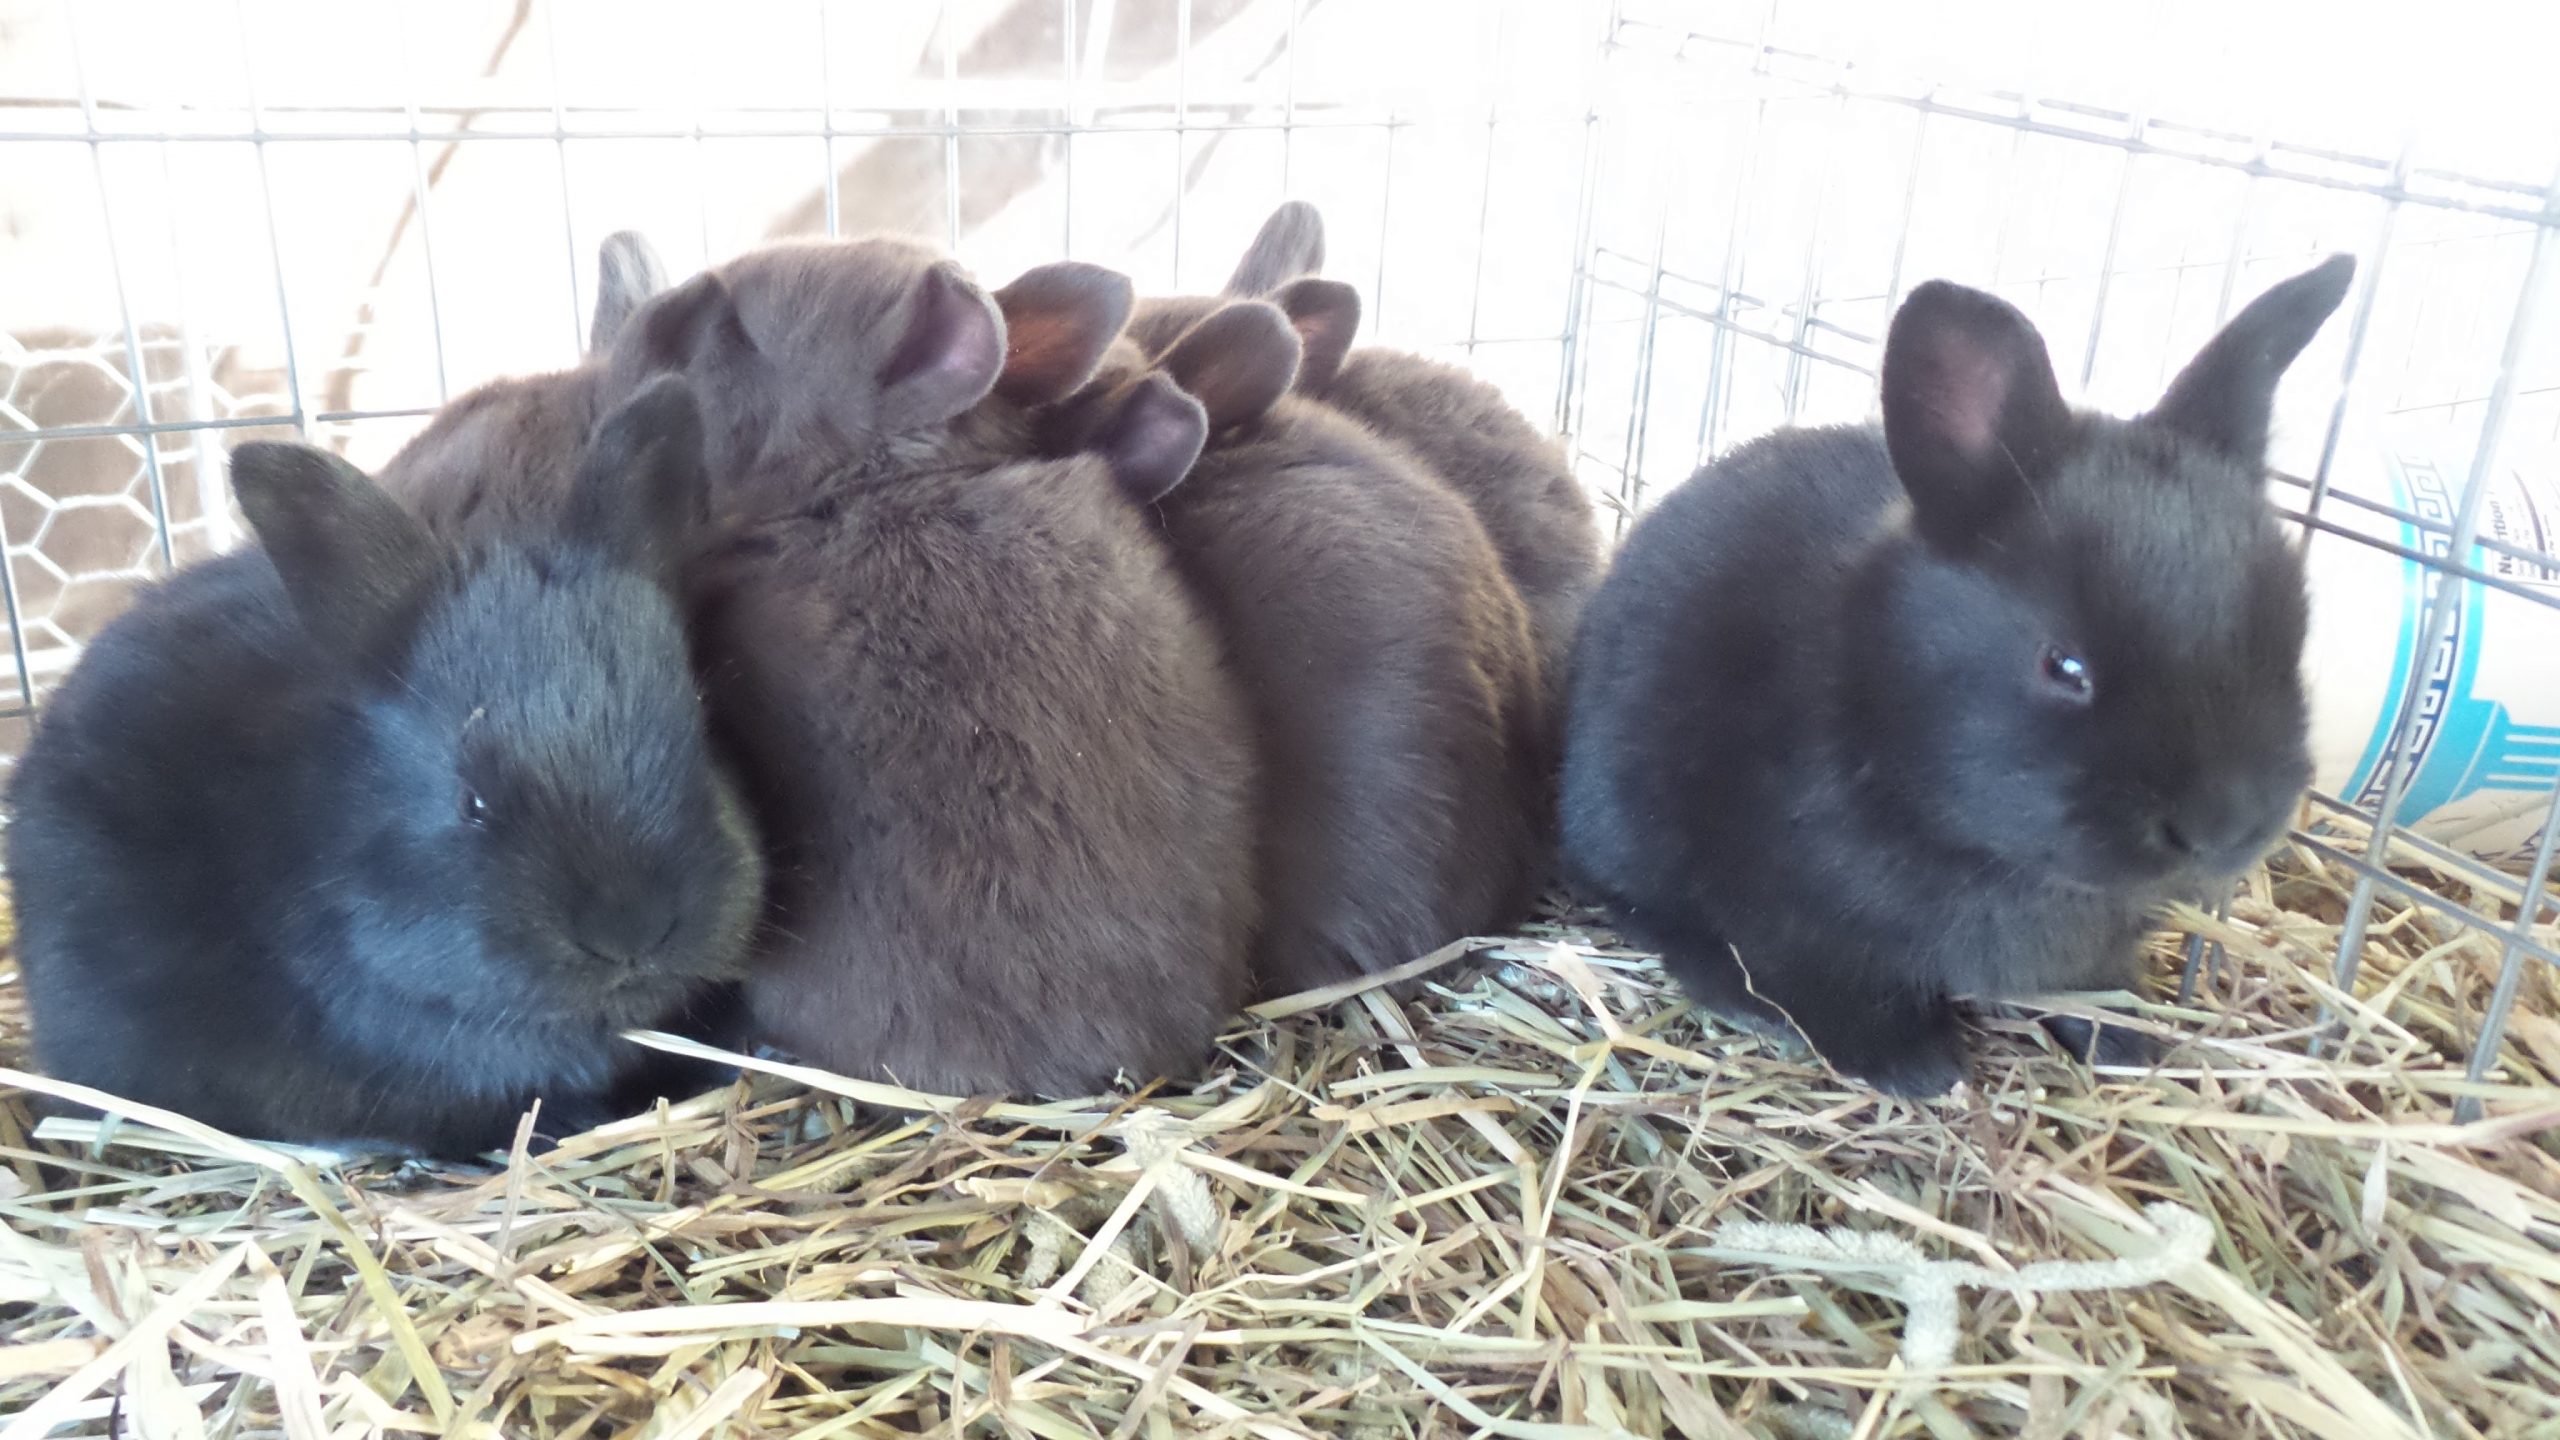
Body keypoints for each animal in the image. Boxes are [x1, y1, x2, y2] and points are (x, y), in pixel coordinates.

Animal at [1559, 255, 2356, 1097]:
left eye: (2293, 632)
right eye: (2063, 664)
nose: (2226, 826)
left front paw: (2125, 1040)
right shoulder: (1793, 917)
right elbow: (1823, 982)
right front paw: (1915, 1066)